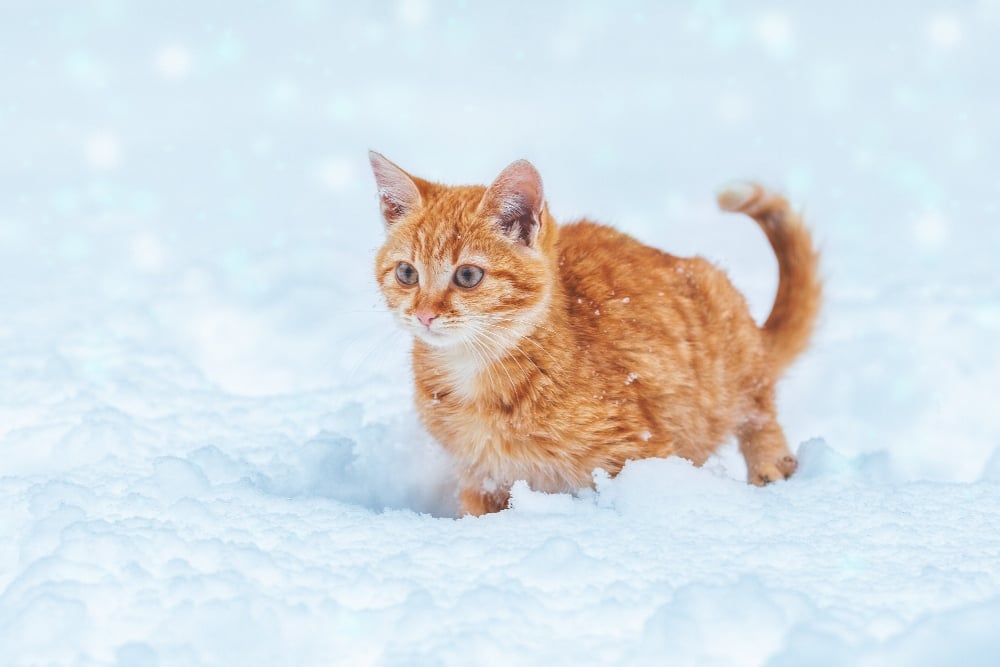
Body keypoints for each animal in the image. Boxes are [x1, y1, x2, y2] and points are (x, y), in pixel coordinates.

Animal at [370, 151, 820, 516]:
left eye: (467, 276)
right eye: (406, 273)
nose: (424, 314)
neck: (475, 370)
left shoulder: (642, 449)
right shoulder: (481, 474)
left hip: (724, 320)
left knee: (757, 407)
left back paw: (771, 467)